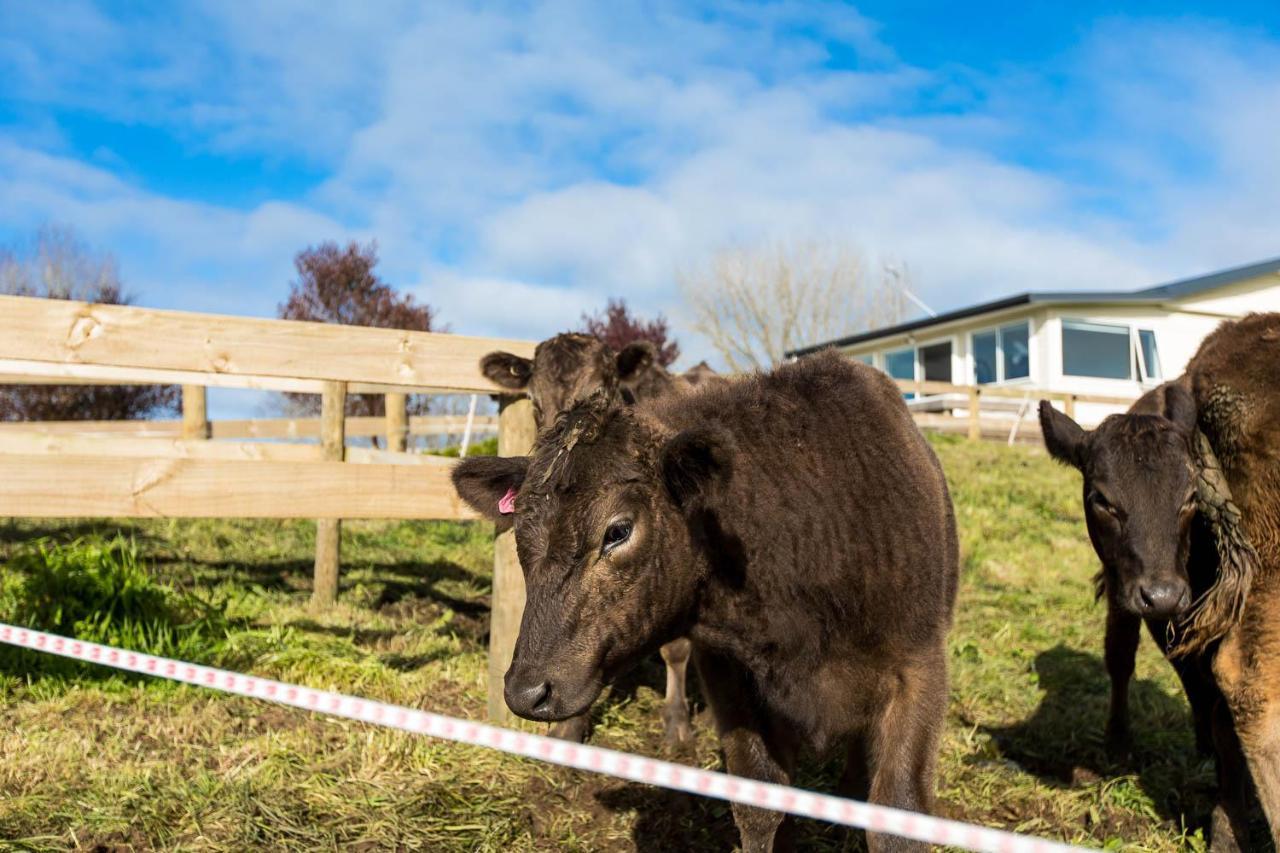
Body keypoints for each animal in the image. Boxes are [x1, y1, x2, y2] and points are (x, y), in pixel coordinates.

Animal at [1039, 311, 1280, 845]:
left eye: (1190, 497)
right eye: (1102, 499)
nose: (1162, 593)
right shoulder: (1130, 588)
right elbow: (1123, 655)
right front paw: (1118, 746)